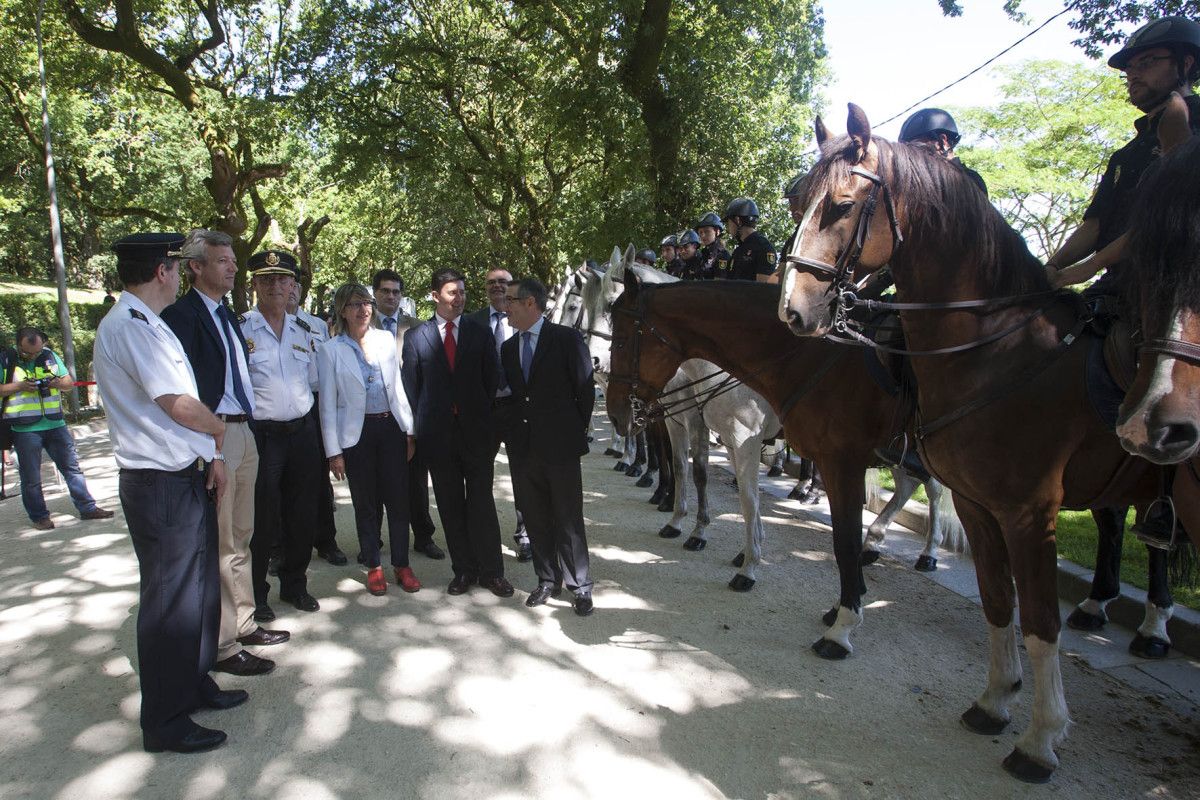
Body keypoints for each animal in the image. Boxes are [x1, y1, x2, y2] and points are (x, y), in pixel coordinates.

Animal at [604, 267, 921, 657]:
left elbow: (747, 499)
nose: (615, 411)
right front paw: (706, 535)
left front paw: (747, 566)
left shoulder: (743, 438)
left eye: (620, 338)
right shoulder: (702, 427)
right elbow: (697, 475)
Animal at [777, 104, 1190, 782]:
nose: (793, 311)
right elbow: (998, 599)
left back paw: (1149, 623)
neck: (998, 351)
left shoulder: (1028, 512)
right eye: (794, 201)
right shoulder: (977, 500)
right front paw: (996, 701)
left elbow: (1040, 618)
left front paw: (1041, 737)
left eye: (840, 205)